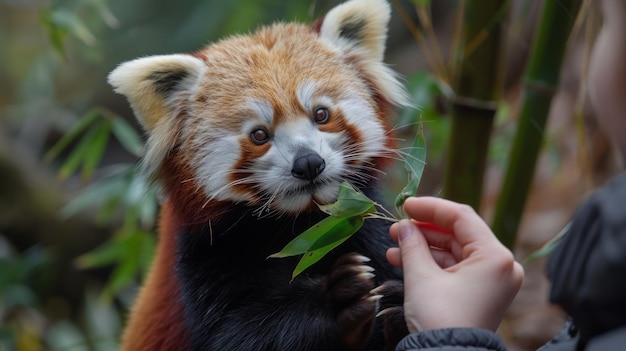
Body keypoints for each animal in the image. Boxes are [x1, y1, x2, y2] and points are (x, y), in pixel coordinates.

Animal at [107, 0, 410, 351]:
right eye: (259, 135)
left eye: (321, 114)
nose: (308, 163)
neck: (302, 227)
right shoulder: (207, 257)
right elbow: (237, 335)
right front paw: (336, 300)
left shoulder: (362, 225)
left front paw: (401, 304)